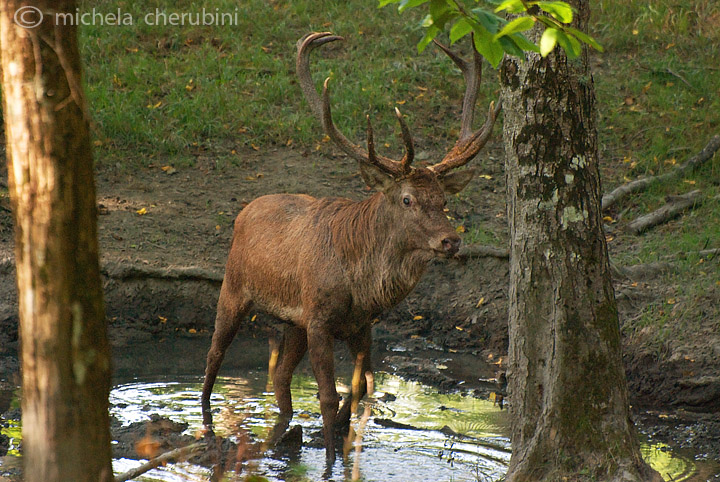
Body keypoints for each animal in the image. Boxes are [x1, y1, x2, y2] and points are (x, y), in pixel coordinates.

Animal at [200, 31, 498, 464]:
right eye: (407, 199)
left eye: (444, 199)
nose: (451, 240)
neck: (361, 287)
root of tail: (246, 209)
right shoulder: (320, 319)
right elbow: (326, 395)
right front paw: (328, 456)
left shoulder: (361, 325)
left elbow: (360, 387)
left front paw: (341, 436)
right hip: (234, 287)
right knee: (214, 357)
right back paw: (207, 420)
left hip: (294, 321)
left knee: (281, 378)